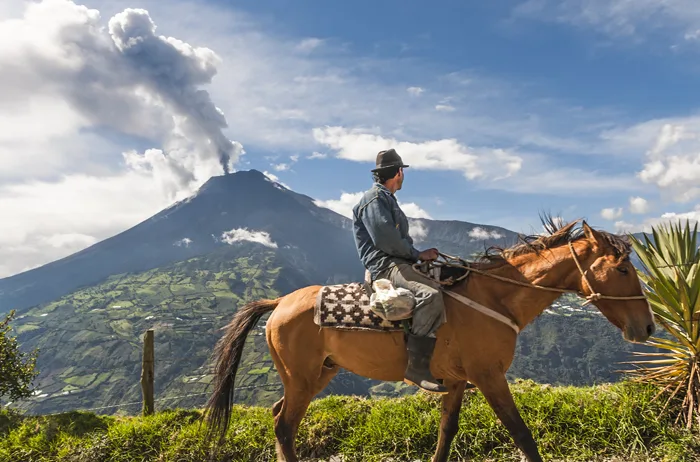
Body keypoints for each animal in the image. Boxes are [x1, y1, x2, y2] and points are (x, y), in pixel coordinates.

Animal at [205, 218, 652, 460]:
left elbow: (446, 433)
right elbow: (521, 433)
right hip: (302, 377)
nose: (648, 328)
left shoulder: (455, 382)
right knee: (284, 424)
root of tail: (280, 301)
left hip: (317, 375)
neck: (492, 297)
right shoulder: (489, 376)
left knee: (280, 416)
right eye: (624, 270)